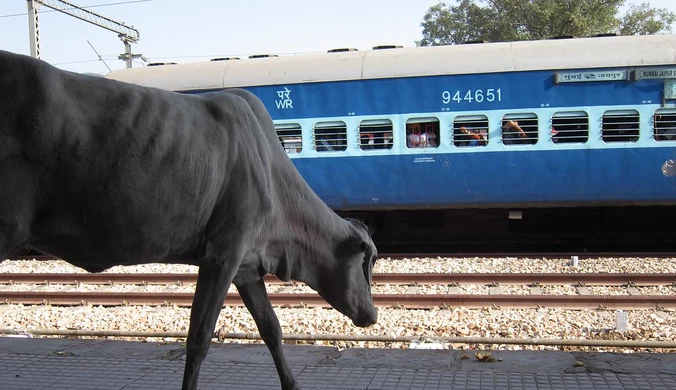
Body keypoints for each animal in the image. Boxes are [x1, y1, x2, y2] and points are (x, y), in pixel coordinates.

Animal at [0, 51, 378, 390]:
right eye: (365, 262)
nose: (372, 314)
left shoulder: (246, 263)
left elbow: (271, 328)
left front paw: (292, 383)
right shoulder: (222, 253)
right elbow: (199, 338)